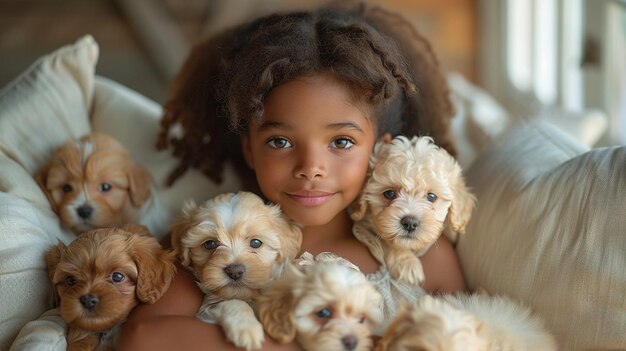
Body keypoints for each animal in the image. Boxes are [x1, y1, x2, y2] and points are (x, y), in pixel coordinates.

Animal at [168, 192, 300, 351]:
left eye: (256, 243)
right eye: (210, 244)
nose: (235, 271)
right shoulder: (207, 310)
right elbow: (233, 302)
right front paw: (247, 328)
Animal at [348, 135, 476, 286]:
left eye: (432, 197)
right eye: (389, 193)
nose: (410, 223)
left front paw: (454, 230)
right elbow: (388, 241)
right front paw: (407, 263)